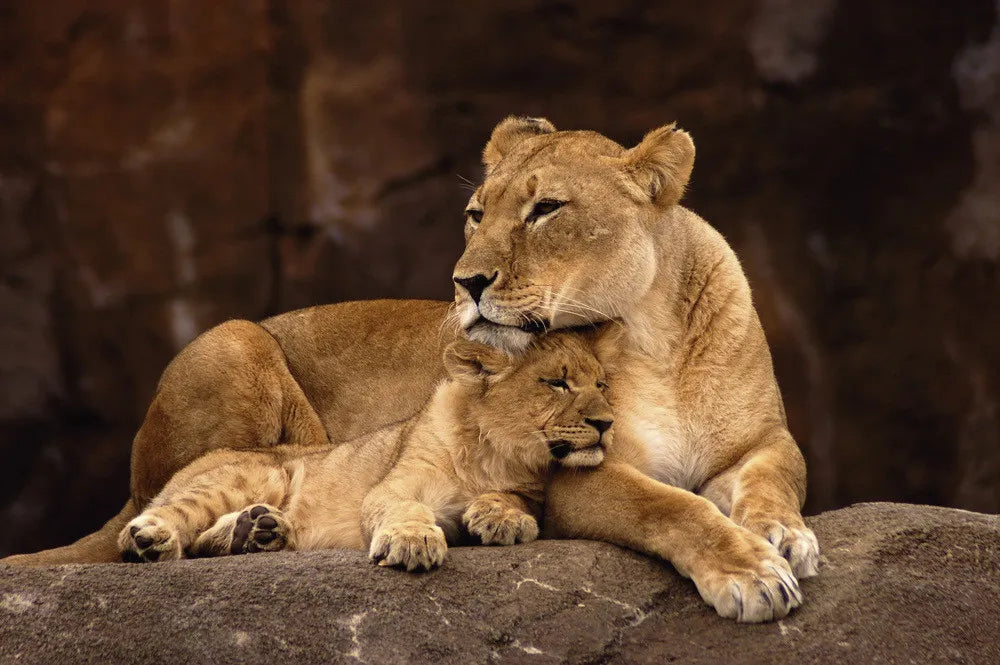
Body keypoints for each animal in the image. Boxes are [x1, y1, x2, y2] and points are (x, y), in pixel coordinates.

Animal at [116, 330, 626, 573]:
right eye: (556, 382)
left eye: (601, 385)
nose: (607, 423)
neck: (494, 453)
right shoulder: (392, 486)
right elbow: (405, 508)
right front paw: (413, 542)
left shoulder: (531, 489)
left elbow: (515, 499)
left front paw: (501, 517)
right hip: (256, 474)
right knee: (169, 522)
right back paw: (153, 539)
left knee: (205, 541)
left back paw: (258, 531)